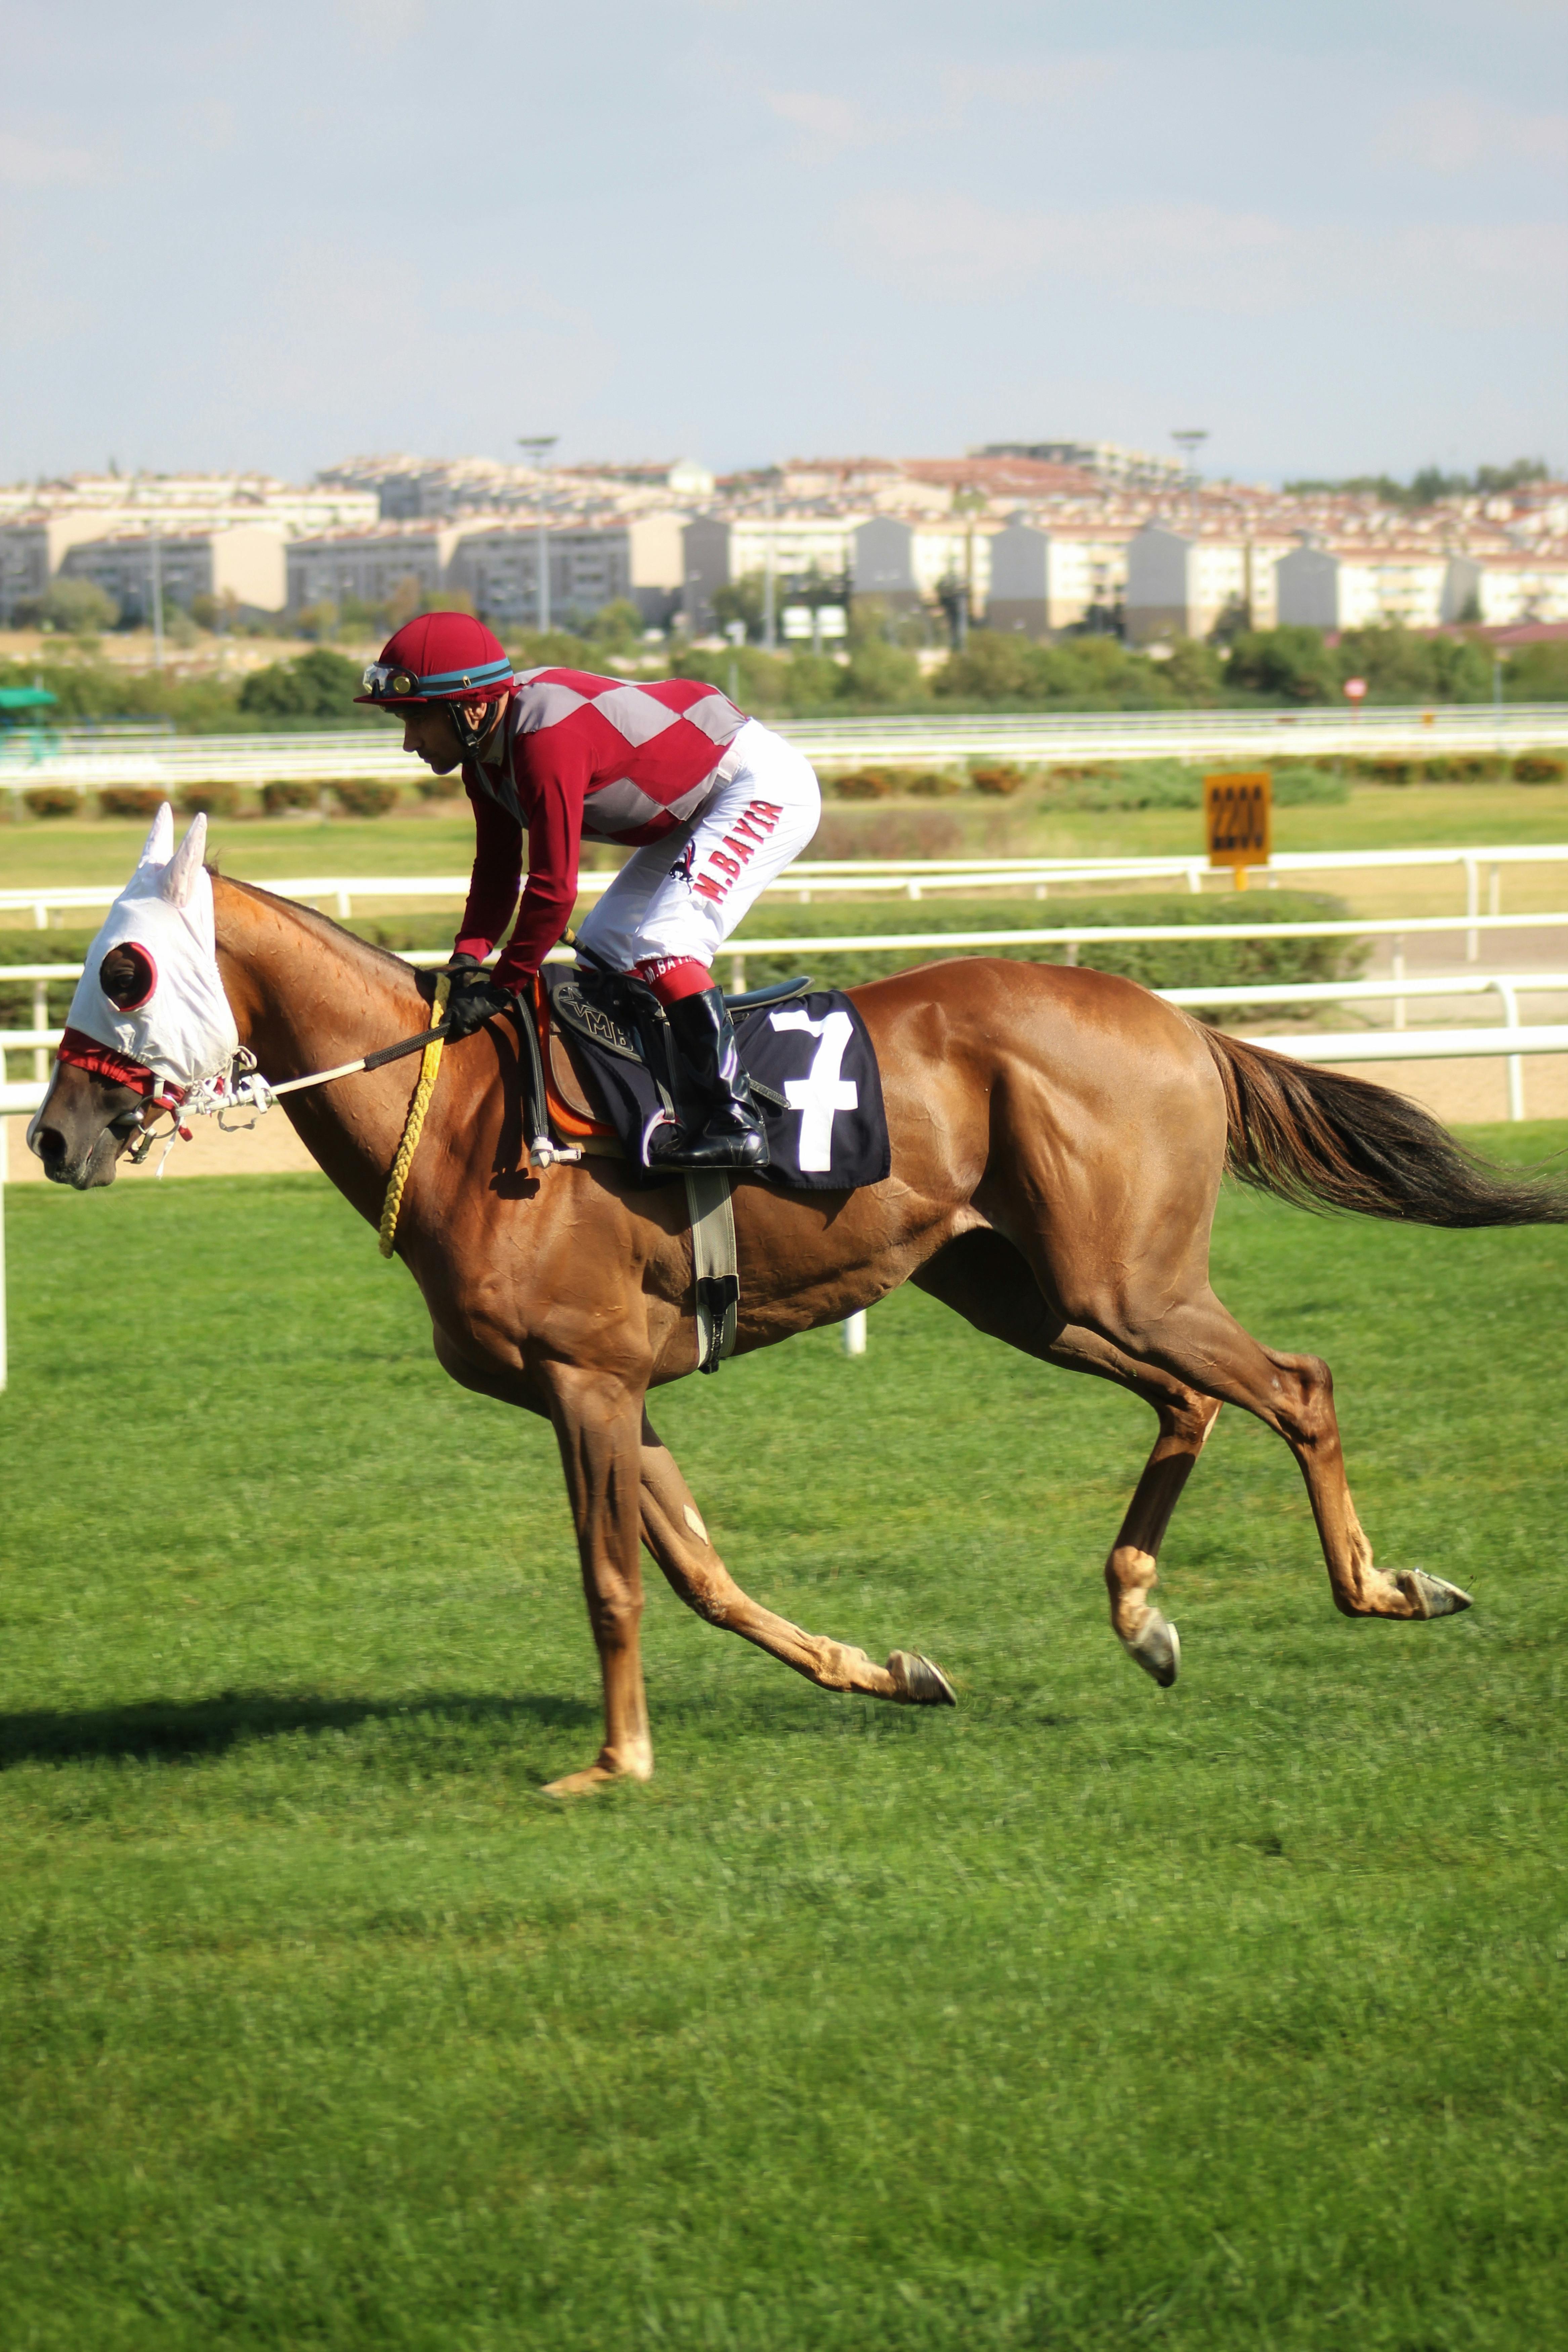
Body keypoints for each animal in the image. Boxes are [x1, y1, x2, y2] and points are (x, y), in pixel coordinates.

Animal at [31, 868, 1567, 1794]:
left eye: (125, 972)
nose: (52, 1136)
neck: (469, 1120)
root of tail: (1183, 1025)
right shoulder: (605, 1390)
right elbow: (704, 1576)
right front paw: (885, 1671)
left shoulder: (585, 1381)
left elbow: (614, 1582)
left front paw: (614, 1763)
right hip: (1023, 1290)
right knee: (1186, 1403)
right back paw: (1138, 1613)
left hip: (1124, 1281)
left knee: (1294, 1382)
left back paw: (1380, 1587)